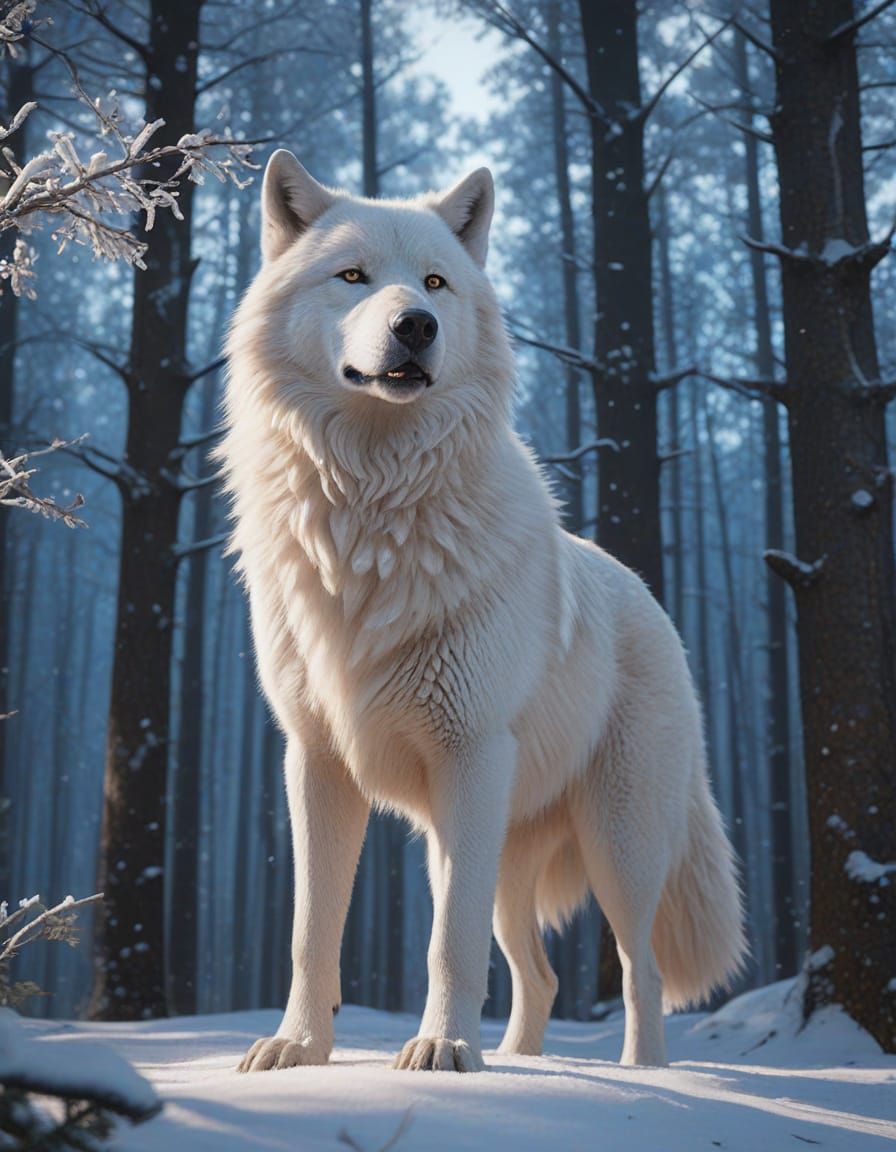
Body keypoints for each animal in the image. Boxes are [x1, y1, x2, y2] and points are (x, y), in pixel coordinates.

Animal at [220, 150, 746, 1074]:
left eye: (436, 282)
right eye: (352, 276)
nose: (416, 325)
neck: (372, 513)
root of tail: (651, 598)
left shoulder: (470, 756)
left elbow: (446, 943)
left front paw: (442, 1053)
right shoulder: (314, 762)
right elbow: (311, 933)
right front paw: (298, 1050)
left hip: (613, 845)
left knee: (638, 968)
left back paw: (640, 1073)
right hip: (489, 850)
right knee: (541, 974)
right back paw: (527, 1065)